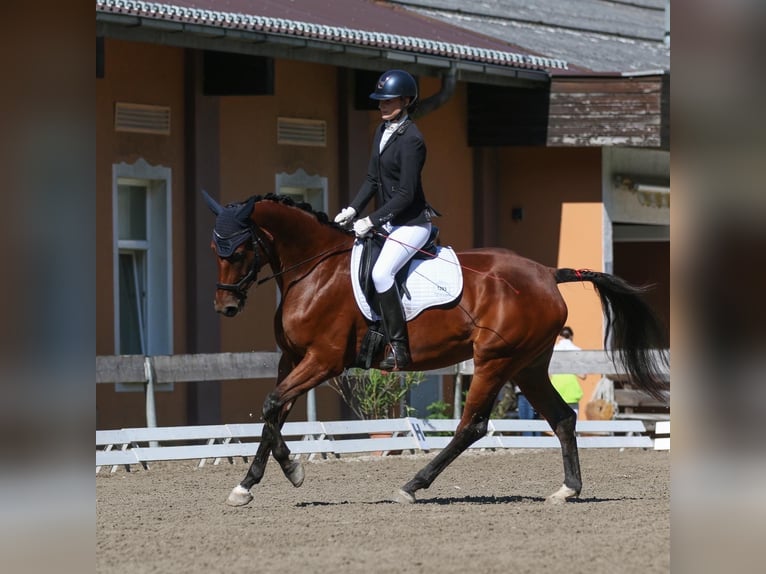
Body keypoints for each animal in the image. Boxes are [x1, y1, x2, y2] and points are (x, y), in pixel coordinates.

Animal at [201, 194, 668, 508]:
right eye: (214, 251)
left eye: (239, 250)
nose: (225, 307)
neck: (313, 270)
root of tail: (547, 272)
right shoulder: (294, 359)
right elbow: (274, 413)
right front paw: (246, 485)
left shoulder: (323, 360)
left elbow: (271, 404)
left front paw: (293, 470)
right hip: (527, 366)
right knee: (562, 418)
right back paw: (567, 490)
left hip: (494, 361)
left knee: (471, 427)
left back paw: (411, 487)